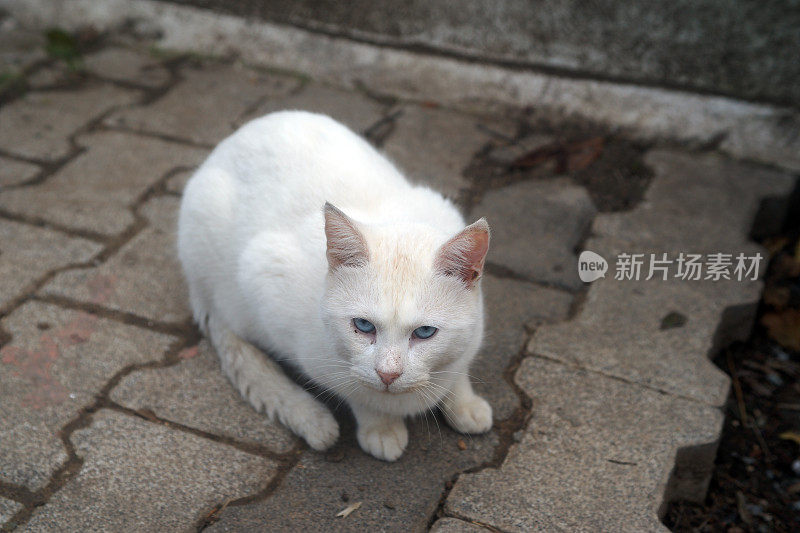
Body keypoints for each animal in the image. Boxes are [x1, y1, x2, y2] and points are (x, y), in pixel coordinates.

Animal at [178, 110, 490, 460]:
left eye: (424, 332)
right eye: (363, 326)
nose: (388, 374)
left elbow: (459, 368)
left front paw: (464, 403)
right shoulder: (266, 277)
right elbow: (355, 389)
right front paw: (380, 427)